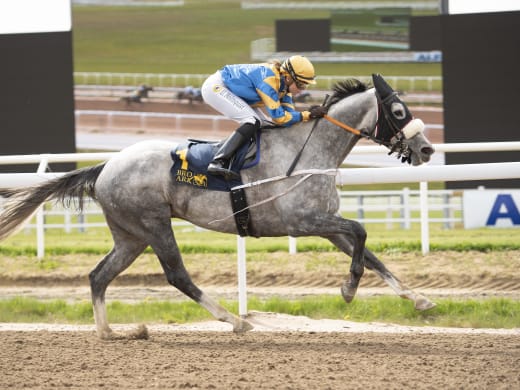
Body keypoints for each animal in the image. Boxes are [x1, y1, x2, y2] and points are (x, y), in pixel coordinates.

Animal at [0, 75, 434, 338]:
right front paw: (347, 289)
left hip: (130, 235)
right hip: (154, 224)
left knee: (98, 276)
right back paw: (235, 320)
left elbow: (370, 253)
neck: (309, 149)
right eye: (399, 112)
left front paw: (419, 299)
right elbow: (361, 232)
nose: (427, 149)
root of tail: (106, 166)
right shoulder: (304, 220)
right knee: (177, 276)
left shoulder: (325, 223)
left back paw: (109, 332)